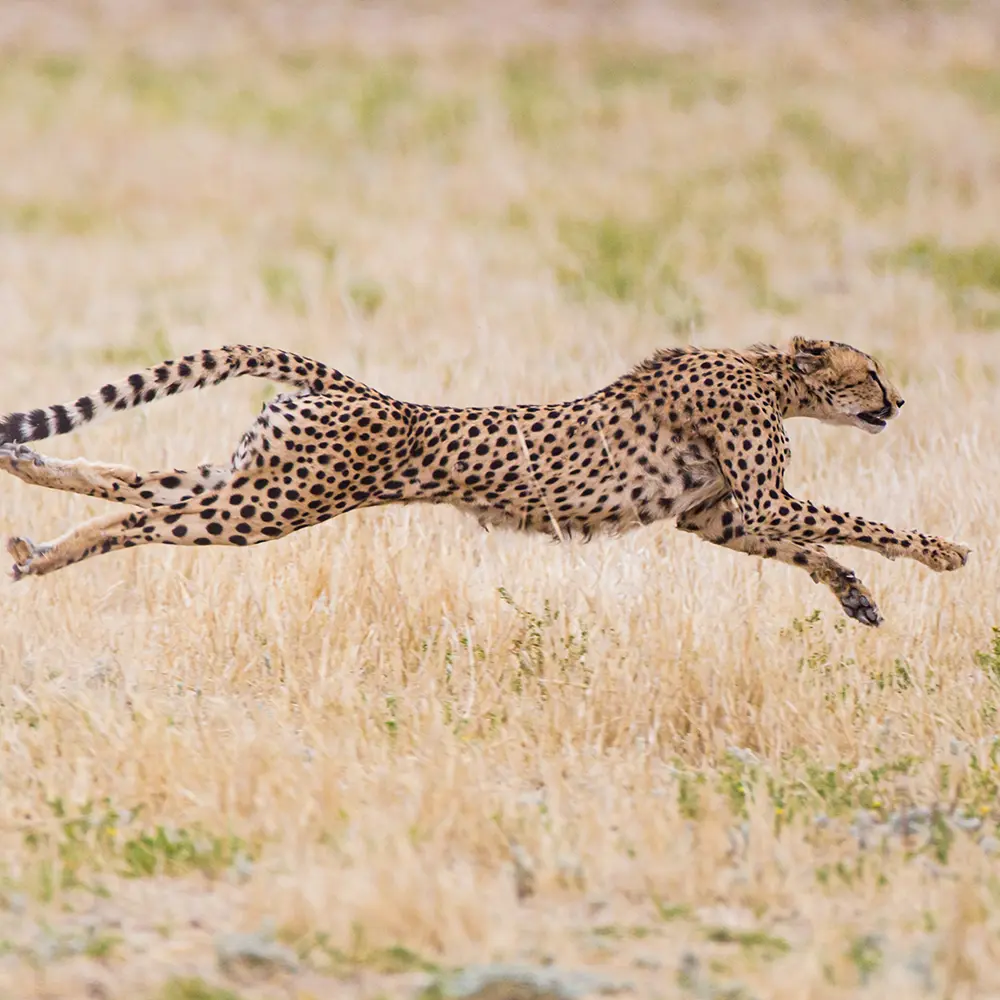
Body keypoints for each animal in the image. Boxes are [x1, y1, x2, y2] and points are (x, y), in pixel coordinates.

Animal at [0, 337, 969, 626]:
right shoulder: (758, 497)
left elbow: (811, 544)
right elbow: (856, 519)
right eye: (868, 372)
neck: (768, 370)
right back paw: (41, 550)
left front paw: (856, 596)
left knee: (128, 479)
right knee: (143, 520)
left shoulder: (719, 519)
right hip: (270, 504)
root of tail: (358, 388)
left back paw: (29, 491)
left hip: (253, 476)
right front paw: (943, 552)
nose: (899, 399)